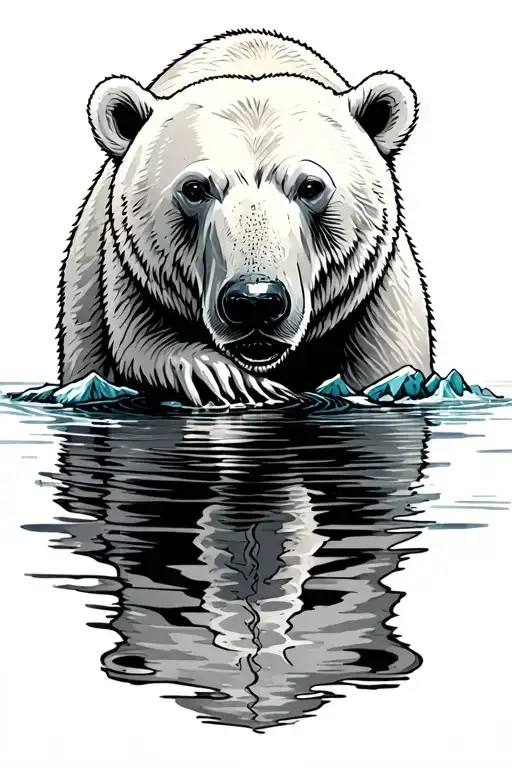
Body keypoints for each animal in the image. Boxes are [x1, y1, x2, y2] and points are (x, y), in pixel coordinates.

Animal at [58, 29, 434, 406]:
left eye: (311, 186)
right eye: (195, 188)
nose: (256, 301)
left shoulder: (378, 297)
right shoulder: (129, 275)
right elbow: (141, 345)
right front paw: (234, 380)